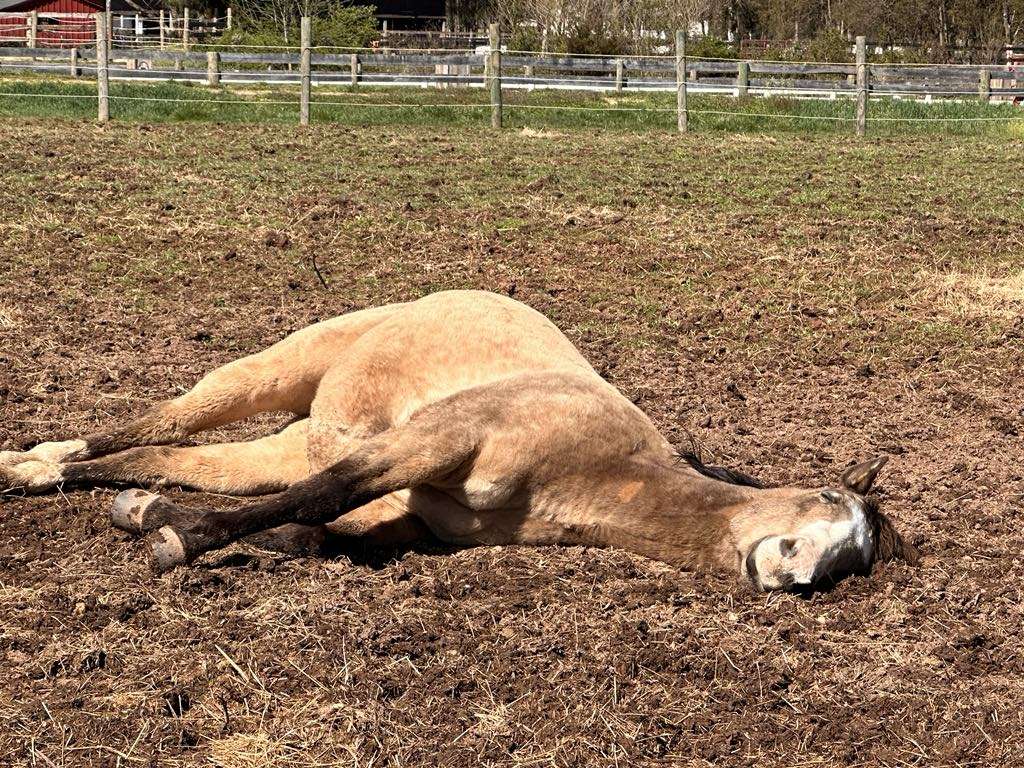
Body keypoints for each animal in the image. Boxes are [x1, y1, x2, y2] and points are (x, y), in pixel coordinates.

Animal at [0, 290, 913, 593]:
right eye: (827, 501)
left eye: (854, 561)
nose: (794, 573)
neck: (594, 468)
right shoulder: (436, 442)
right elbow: (325, 498)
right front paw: (178, 541)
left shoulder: (418, 513)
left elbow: (314, 530)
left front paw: (157, 519)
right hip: (270, 372)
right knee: (161, 420)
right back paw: (33, 465)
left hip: (284, 442)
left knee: (170, 458)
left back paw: (113, 490)